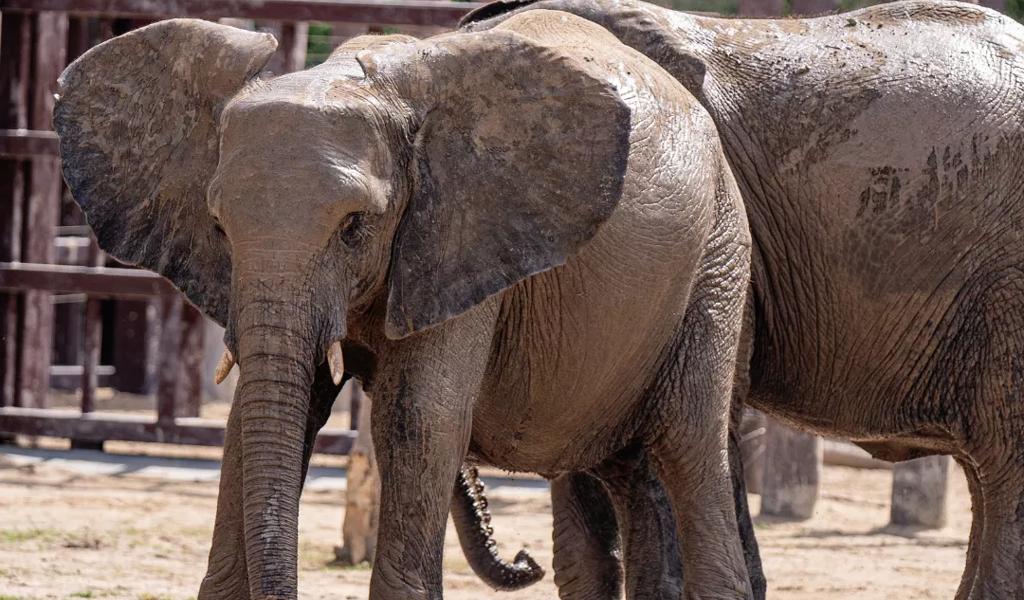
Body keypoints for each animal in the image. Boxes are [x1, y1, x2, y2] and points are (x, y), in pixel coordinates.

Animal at [58, 9, 761, 597]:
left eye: (355, 227)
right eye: (218, 227)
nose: (523, 559)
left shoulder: (460, 231)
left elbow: (417, 421)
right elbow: (258, 418)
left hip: (719, 261)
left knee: (690, 451)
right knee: (631, 473)